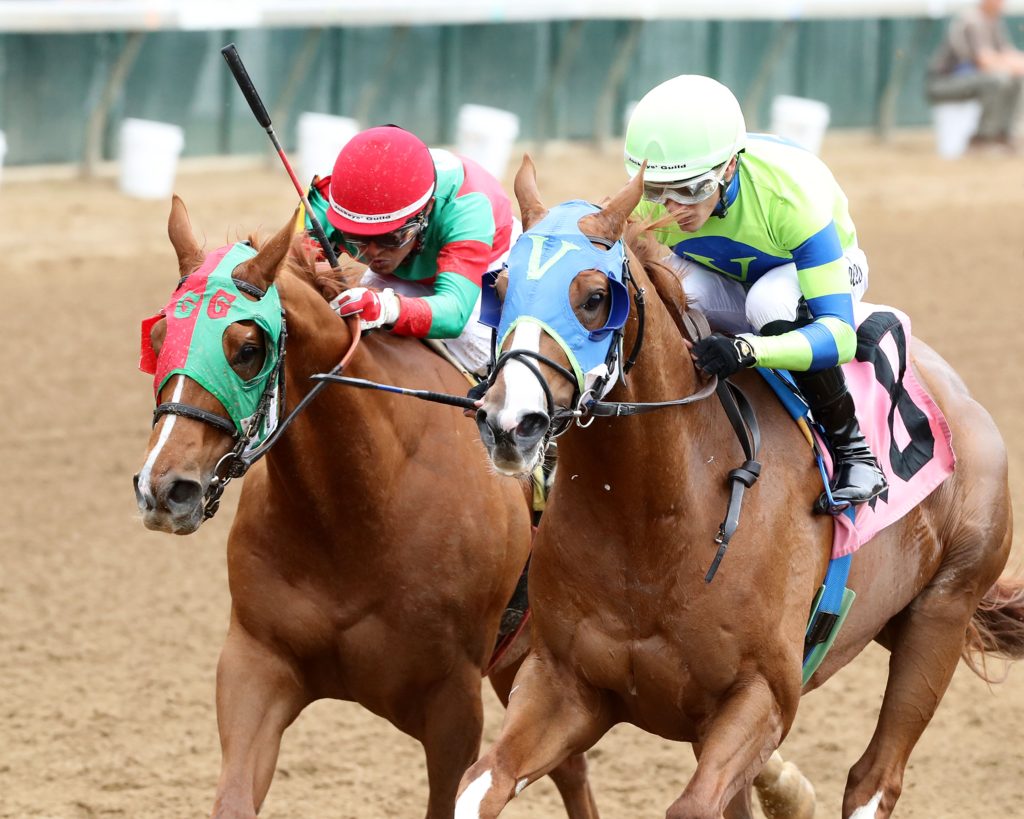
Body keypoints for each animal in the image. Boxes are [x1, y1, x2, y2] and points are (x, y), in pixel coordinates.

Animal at [132, 196, 601, 819]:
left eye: (248, 350)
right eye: (160, 335)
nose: (165, 489)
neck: (356, 512)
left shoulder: (452, 705)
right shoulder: (255, 664)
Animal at [456, 157, 1024, 819]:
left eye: (595, 298)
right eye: (498, 289)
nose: (508, 423)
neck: (653, 522)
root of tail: (960, 397)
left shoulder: (763, 697)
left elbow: (695, 804)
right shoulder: (564, 684)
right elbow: (481, 781)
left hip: (941, 613)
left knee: (874, 778)